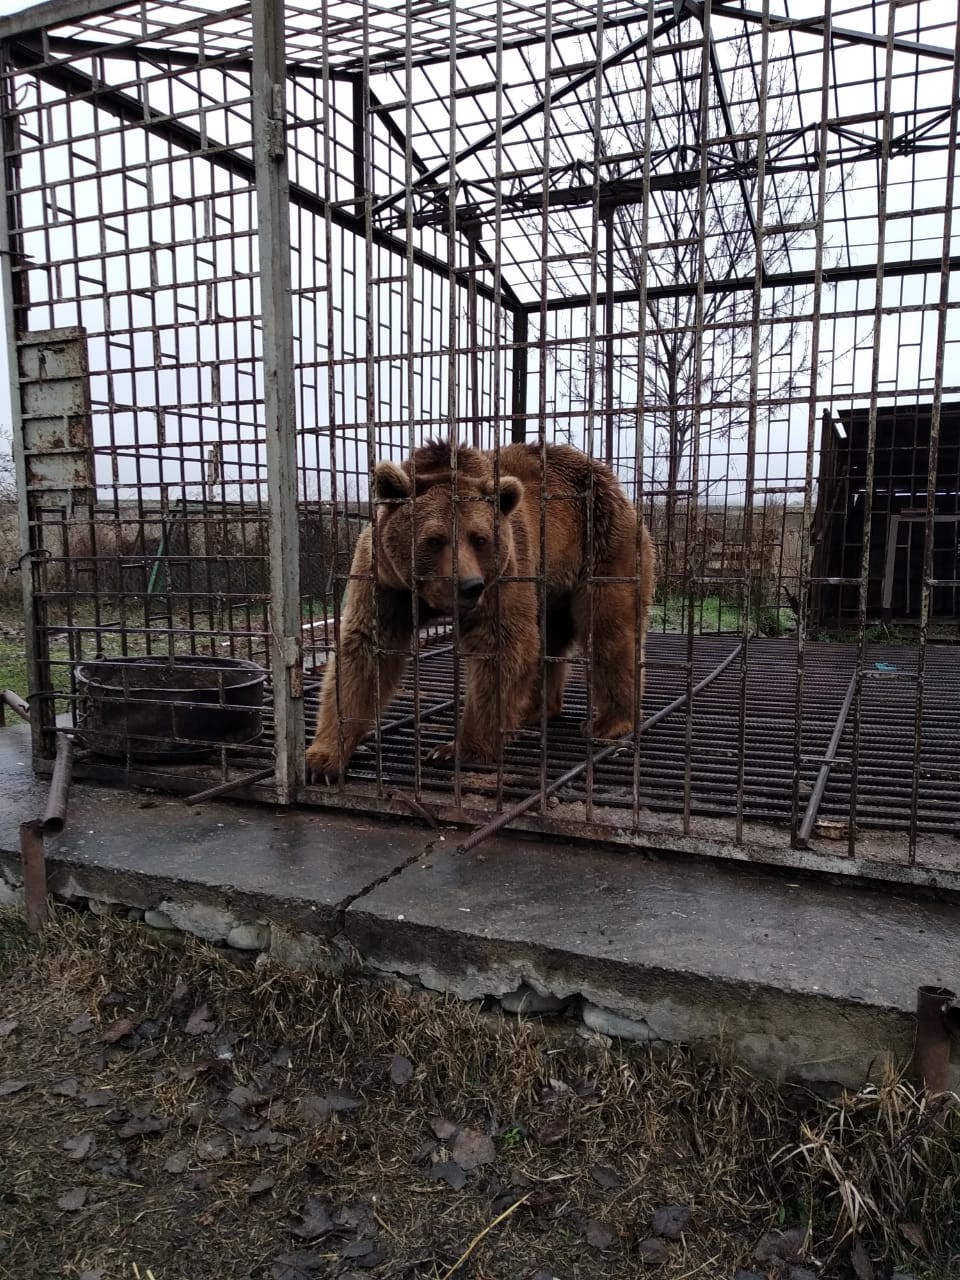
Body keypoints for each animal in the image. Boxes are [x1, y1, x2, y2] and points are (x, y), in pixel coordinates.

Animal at [304, 437, 660, 778]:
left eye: (479, 538)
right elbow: (365, 651)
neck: (428, 597)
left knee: (608, 629)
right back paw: (534, 708)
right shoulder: (386, 581)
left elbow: (502, 645)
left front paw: (457, 749)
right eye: (435, 539)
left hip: (602, 544)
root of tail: (609, 479)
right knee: (551, 638)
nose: (469, 585)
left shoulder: (503, 572)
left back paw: (609, 722)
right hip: (551, 579)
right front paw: (323, 757)